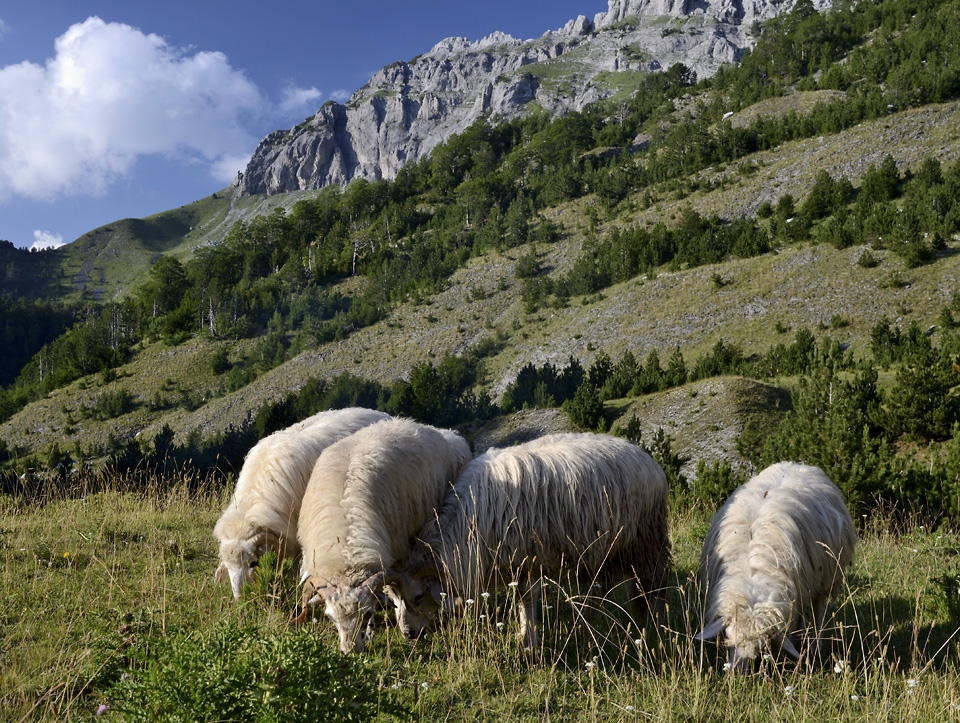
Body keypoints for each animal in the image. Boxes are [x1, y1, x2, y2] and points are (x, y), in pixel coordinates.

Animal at [212, 408, 388, 600]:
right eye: (228, 567)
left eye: (253, 563)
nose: (240, 598)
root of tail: (378, 413)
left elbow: (297, 559)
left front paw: (294, 579)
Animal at [378, 432, 672, 648]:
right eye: (392, 599)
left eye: (418, 597)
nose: (407, 634)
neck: (467, 523)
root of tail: (646, 458)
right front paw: (523, 633)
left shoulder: (526, 556)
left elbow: (526, 598)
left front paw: (528, 640)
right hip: (601, 547)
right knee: (601, 585)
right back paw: (589, 622)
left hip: (646, 538)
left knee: (652, 583)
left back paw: (654, 624)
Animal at [692, 464, 860, 672]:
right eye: (728, 638)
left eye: (761, 647)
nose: (736, 674)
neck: (750, 571)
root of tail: (798, 464)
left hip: (826, 575)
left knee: (818, 608)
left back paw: (815, 645)